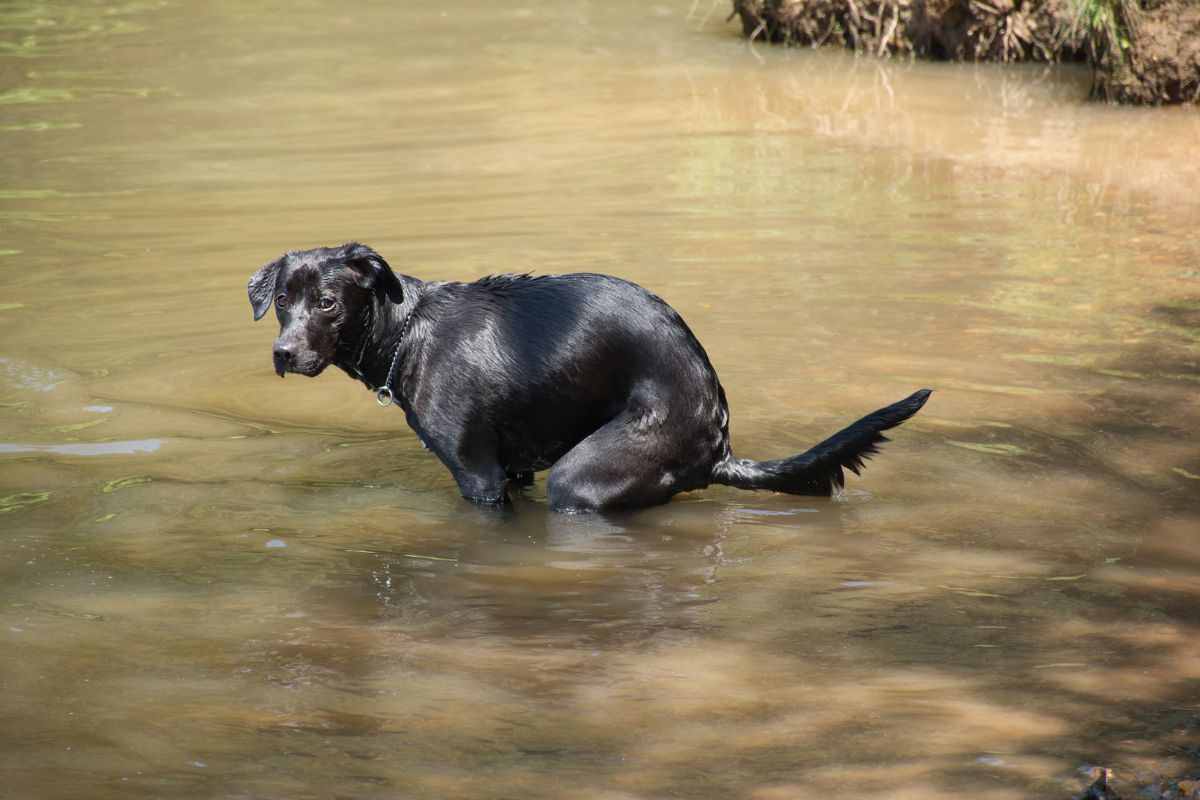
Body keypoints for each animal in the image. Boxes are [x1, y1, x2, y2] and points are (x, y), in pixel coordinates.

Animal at [248, 241, 931, 510]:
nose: (283, 353)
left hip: (585, 477)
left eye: (327, 303)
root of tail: (720, 444)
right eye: (282, 300)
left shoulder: (480, 479)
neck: (408, 331)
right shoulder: (513, 469)